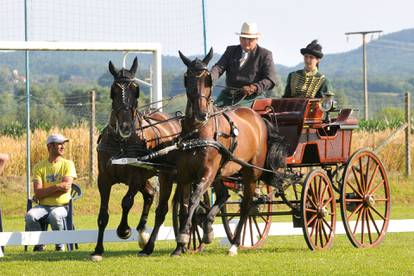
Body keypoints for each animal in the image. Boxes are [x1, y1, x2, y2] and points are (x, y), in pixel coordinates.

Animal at [90, 58, 181, 260]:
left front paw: (124, 230)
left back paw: (149, 244)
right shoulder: (104, 178)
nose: (125, 127)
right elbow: (103, 214)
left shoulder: (136, 176)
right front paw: (98, 250)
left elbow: (126, 202)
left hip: (165, 175)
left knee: (163, 207)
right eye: (114, 90)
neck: (121, 142)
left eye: (136, 89)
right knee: (150, 194)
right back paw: (142, 234)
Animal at [173, 48, 286, 256]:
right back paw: (208, 226)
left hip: (250, 172)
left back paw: (234, 244)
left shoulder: (207, 172)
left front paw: (185, 235)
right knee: (224, 195)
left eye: (208, 79)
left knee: (247, 206)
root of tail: (259, 118)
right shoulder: (185, 175)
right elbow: (184, 205)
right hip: (221, 172)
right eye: (187, 78)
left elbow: (194, 199)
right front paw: (181, 244)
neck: (198, 131)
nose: (201, 114)